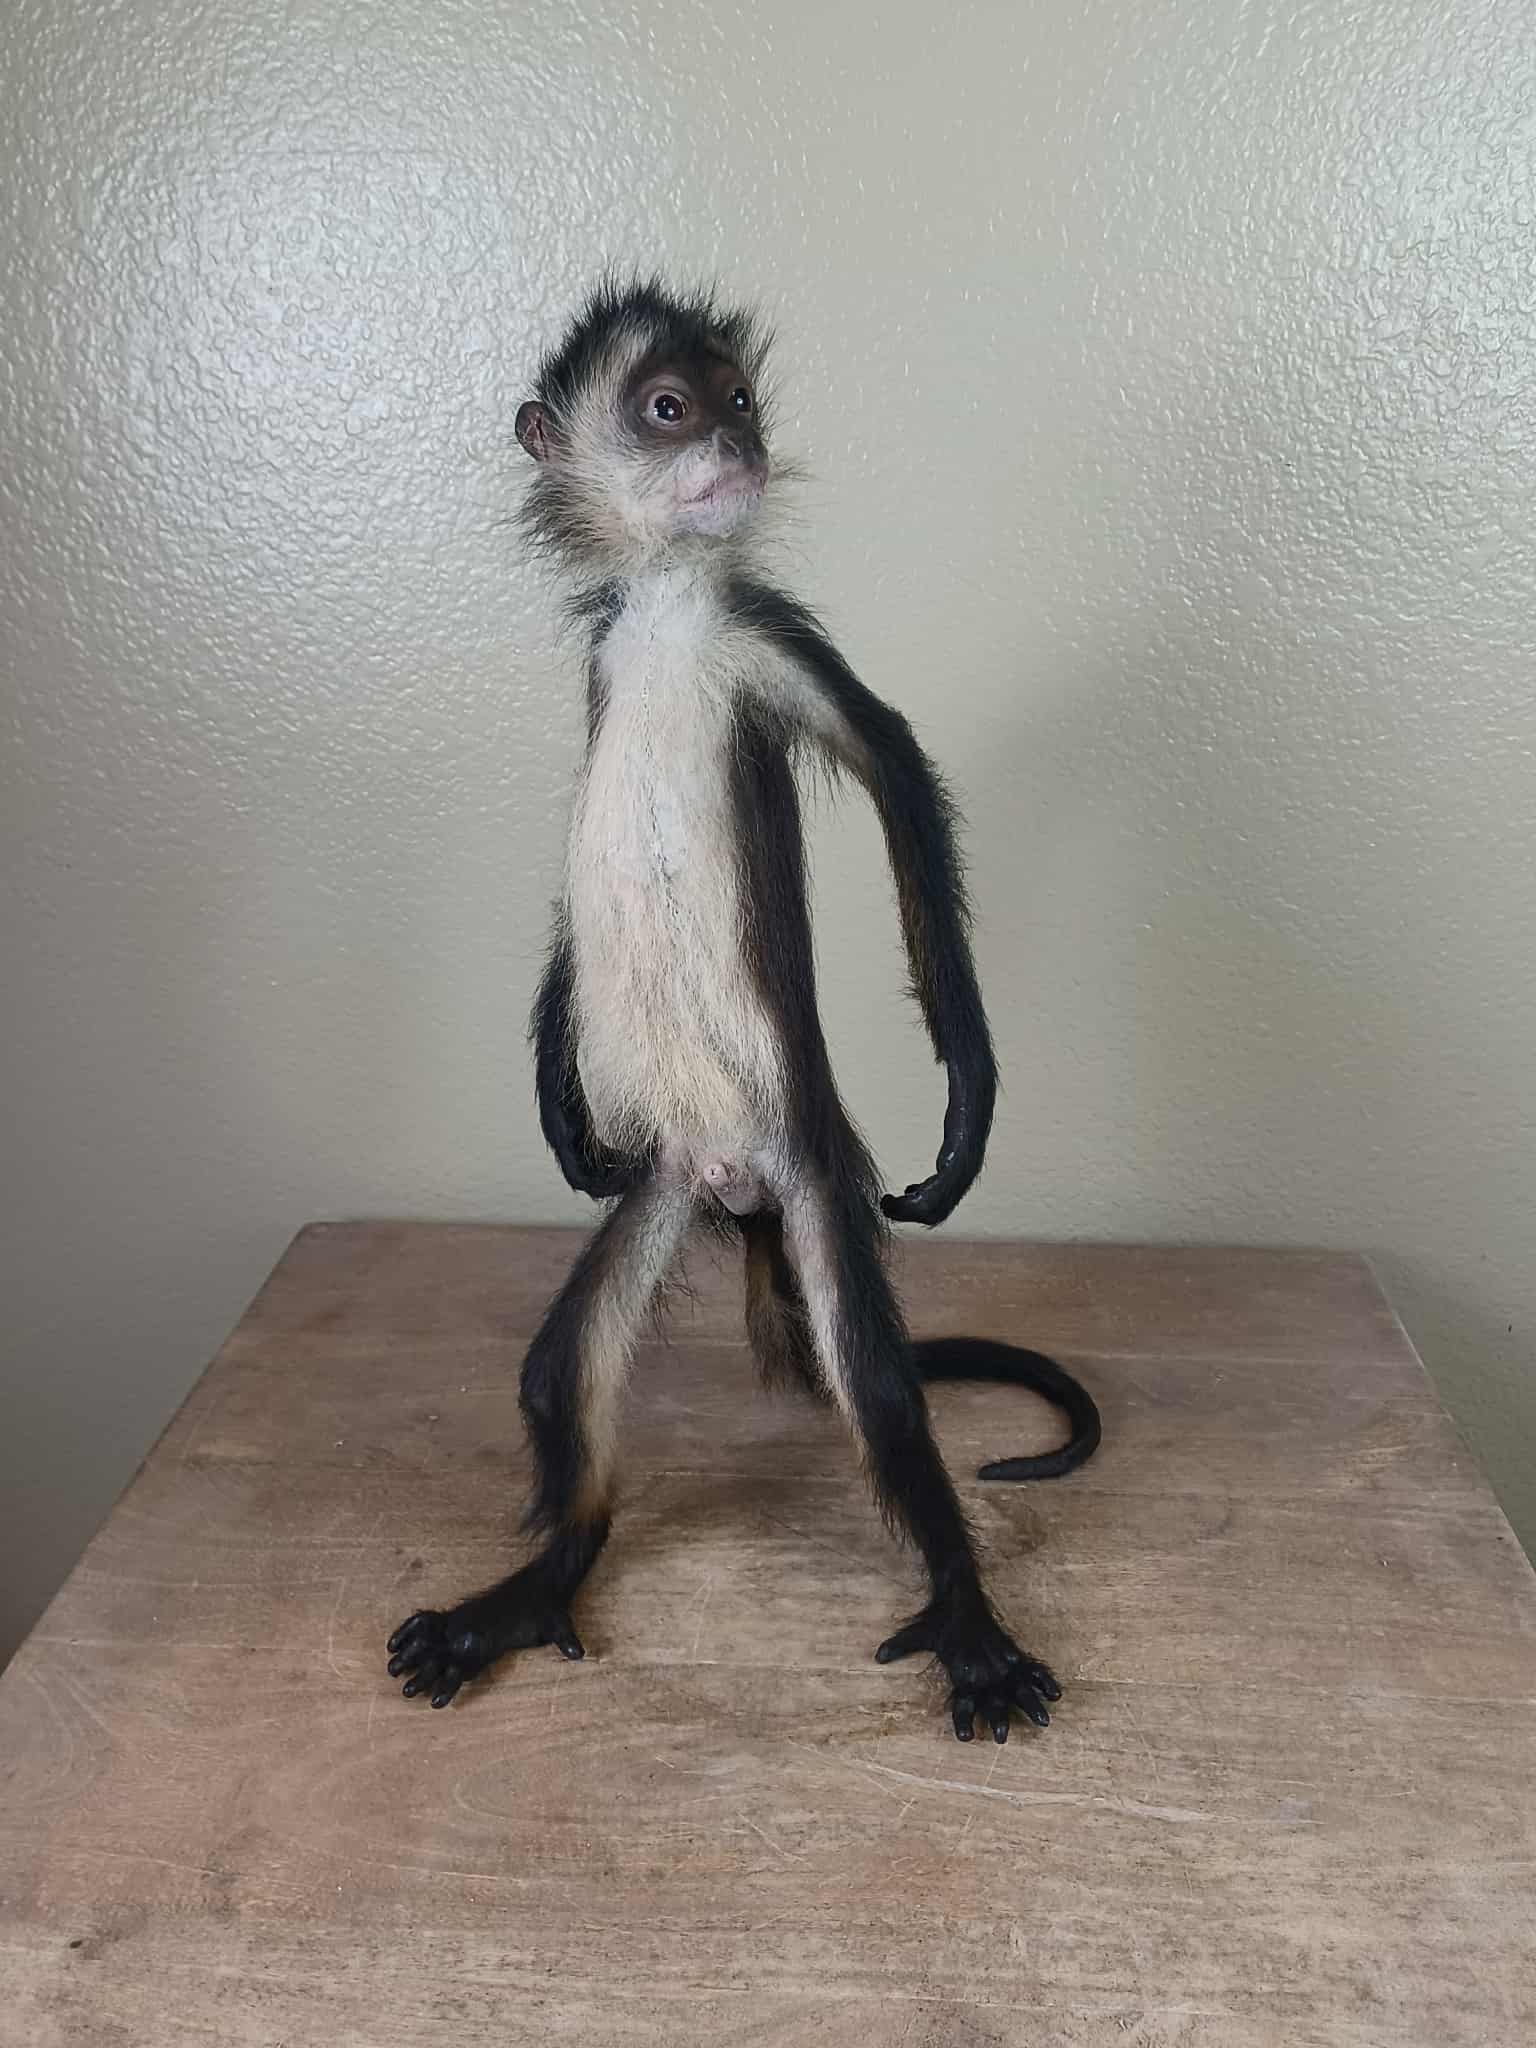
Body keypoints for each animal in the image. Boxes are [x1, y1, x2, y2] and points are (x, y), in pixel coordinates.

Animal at [386, 277, 1100, 1743]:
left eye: (740, 399)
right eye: (669, 407)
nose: (739, 447)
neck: (670, 610)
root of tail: (739, 1188)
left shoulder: (765, 638)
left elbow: (899, 776)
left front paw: (970, 1097)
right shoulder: (609, 657)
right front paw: (558, 1112)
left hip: (808, 1163)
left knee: (882, 1396)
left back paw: (967, 1620)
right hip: (669, 1177)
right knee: (556, 1374)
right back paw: (534, 1589)